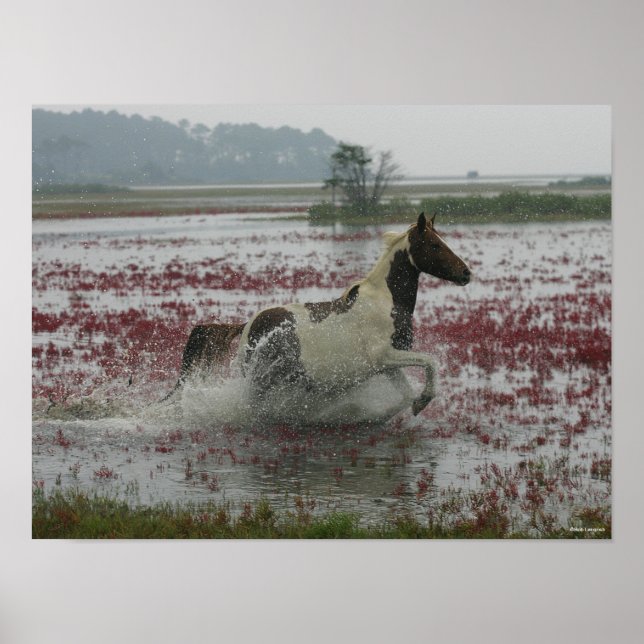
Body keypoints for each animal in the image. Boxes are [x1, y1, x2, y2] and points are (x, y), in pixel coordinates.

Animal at [168, 212, 470, 417]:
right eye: (434, 245)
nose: (466, 273)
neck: (385, 303)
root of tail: (247, 327)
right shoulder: (384, 355)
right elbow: (430, 362)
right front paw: (421, 401)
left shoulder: (388, 366)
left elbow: (406, 395)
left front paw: (406, 407)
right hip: (260, 382)